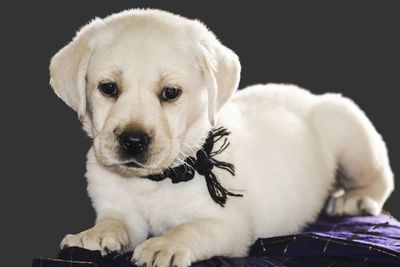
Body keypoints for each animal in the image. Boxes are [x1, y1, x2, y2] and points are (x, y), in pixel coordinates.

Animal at [49, 8, 394, 267]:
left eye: (170, 93)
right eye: (108, 88)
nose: (133, 141)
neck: (155, 181)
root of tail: (308, 95)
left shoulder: (228, 225)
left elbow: (191, 228)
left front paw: (164, 245)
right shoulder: (120, 209)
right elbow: (114, 222)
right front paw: (93, 235)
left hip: (347, 125)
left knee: (380, 178)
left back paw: (355, 199)